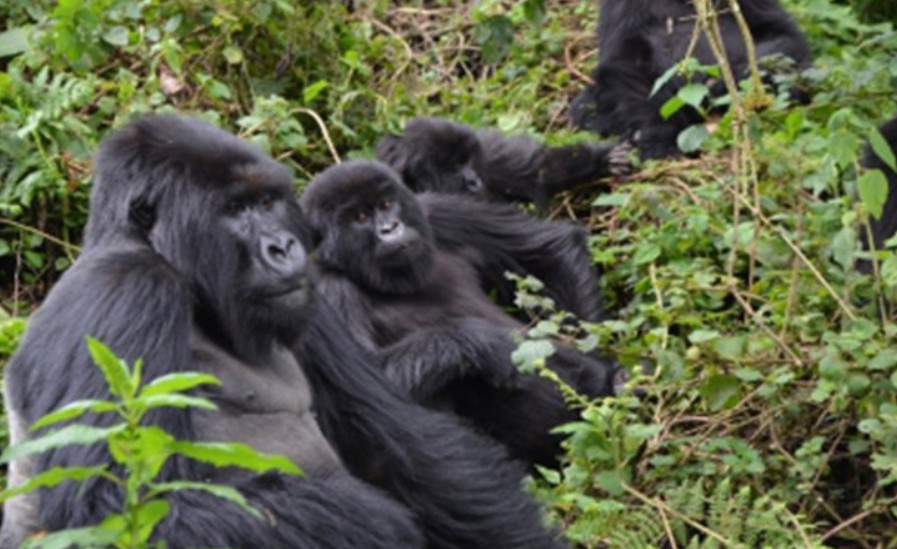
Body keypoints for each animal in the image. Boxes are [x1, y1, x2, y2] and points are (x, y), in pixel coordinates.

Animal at [3, 114, 568, 548]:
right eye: (234, 210)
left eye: (268, 202)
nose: (283, 246)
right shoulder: (125, 288)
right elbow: (115, 503)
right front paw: (370, 521)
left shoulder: (310, 300)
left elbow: (406, 439)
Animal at [298, 161, 620, 464]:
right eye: (360, 218)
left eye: (386, 204)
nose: (390, 228)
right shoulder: (328, 290)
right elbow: (368, 398)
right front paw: (483, 343)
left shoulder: (437, 211)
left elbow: (549, 250)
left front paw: (596, 362)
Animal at [374, 115, 632, 206]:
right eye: (455, 168)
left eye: (467, 161)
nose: (474, 182)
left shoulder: (488, 157)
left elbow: (538, 173)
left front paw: (603, 158)